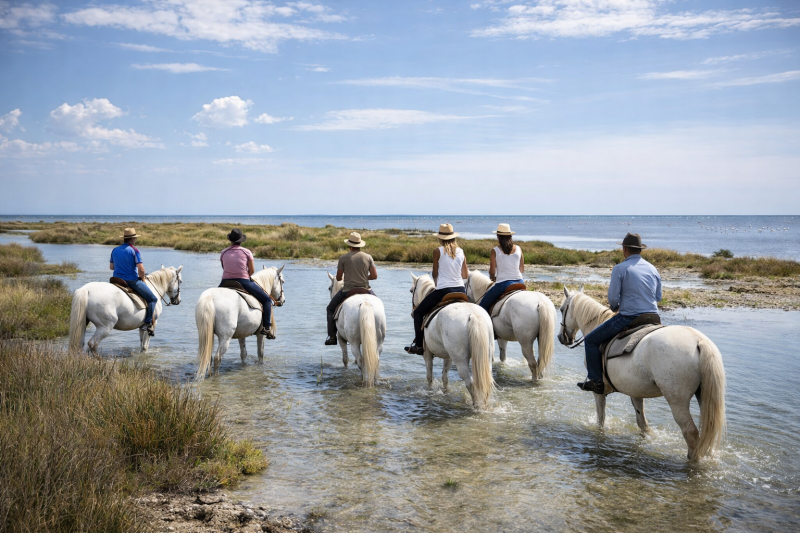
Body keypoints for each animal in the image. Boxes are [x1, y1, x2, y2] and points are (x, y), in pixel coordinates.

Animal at [410, 273, 494, 410]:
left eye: (412, 290)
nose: (413, 313)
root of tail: (473, 315)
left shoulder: (427, 354)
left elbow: (429, 377)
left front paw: (429, 392)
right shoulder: (448, 357)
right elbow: (445, 377)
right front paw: (446, 393)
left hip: (460, 360)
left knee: (470, 383)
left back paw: (476, 406)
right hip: (486, 356)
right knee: (487, 381)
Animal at [557, 286, 726, 460]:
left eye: (562, 309)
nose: (562, 337)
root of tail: (699, 341)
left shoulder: (599, 392)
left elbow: (600, 420)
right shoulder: (635, 391)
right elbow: (642, 423)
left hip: (677, 402)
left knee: (691, 434)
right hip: (704, 398)